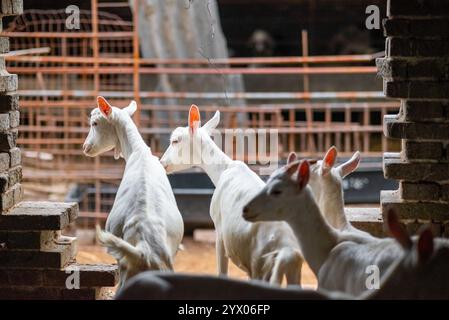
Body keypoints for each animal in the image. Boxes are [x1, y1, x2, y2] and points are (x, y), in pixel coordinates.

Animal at [159, 104, 302, 284]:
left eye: (175, 141)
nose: (162, 163)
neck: (224, 170)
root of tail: (286, 246)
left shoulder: (220, 232)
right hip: (291, 268)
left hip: (261, 264)